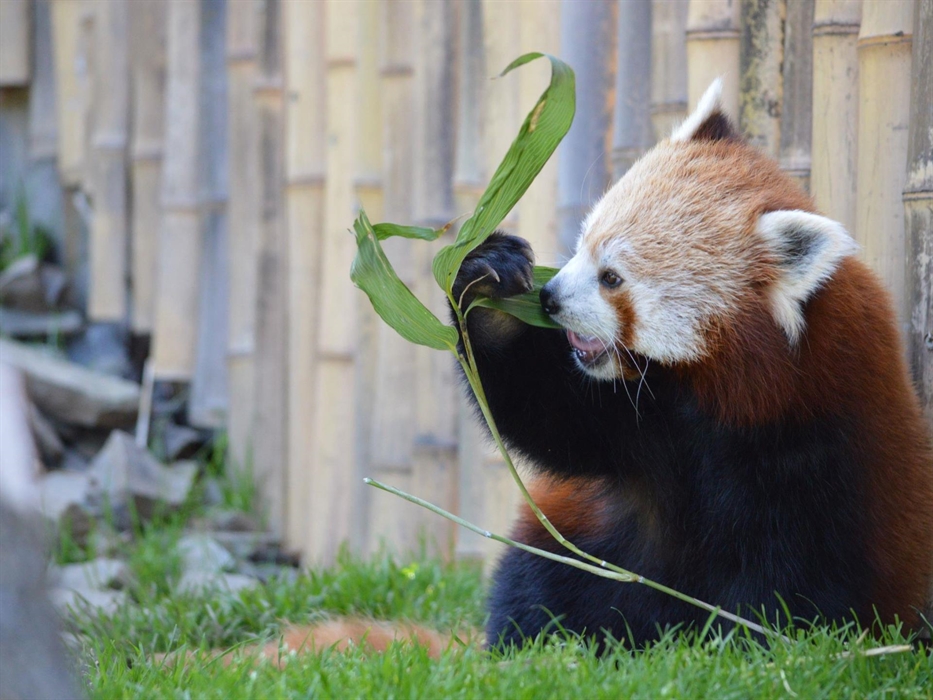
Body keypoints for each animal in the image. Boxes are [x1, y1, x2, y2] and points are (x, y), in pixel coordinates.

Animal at [450, 80, 933, 650]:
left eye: (611, 277)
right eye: (582, 243)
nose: (549, 299)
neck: (718, 401)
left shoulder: (822, 444)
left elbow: (790, 575)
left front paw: (751, 641)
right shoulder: (637, 421)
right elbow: (548, 410)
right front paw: (490, 287)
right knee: (542, 578)